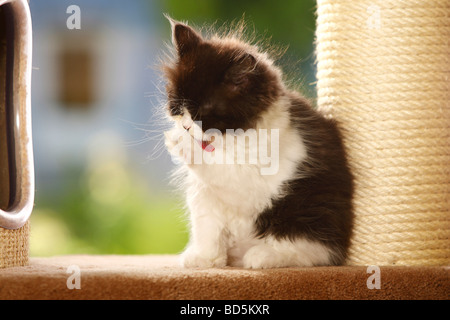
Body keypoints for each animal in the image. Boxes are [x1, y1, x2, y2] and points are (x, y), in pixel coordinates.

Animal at [163, 18, 354, 268]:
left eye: (202, 113)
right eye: (177, 106)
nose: (185, 127)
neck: (227, 143)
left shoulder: (257, 181)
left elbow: (220, 171)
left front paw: (181, 144)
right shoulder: (204, 194)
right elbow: (207, 227)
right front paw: (206, 259)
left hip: (309, 213)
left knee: (312, 251)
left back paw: (262, 256)